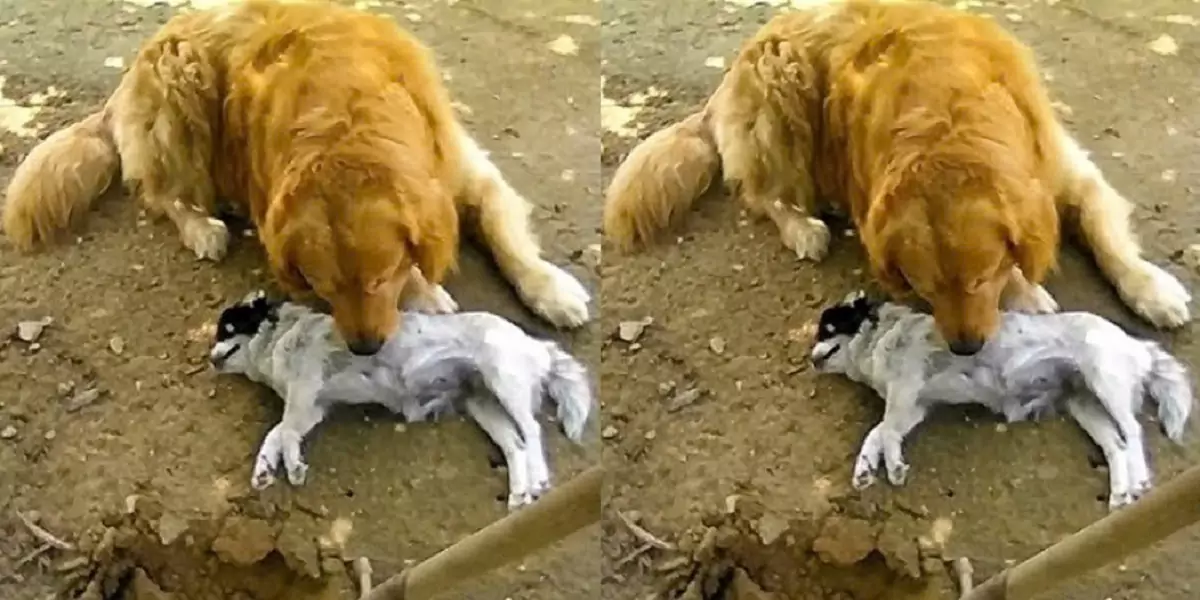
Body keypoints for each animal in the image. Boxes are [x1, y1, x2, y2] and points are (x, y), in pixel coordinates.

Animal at [3, 0, 590, 352]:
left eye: (378, 279)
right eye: (323, 289)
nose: (364, 349)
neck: (345, 115)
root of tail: (130, 73)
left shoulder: (464, 169)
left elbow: (505, 233)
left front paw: (551, 289)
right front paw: (426, 292)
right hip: (180, 90)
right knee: (163, 194)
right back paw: (204, 228)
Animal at [214, 288, 595, 508]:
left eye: (227, 330)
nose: (209, 357)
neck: (281, 336)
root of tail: (535, 343)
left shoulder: (304, 393)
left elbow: (287, 433)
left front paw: (292, 465)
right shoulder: (313, 407)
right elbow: (275, 433)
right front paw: (264, 469)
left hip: (505, 383)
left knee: (532, 430)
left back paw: (539, 478)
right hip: (484, 405)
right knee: (515, 444)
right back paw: (520, 491)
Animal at [609, 0, 1190, 352]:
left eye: (979, 279)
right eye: (923, 289)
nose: (965, 348)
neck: (947, 116)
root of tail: (733, 69)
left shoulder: (1064, 168)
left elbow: (1105, 233)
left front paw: (1152, 289)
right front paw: (1026, 291)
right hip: (782, 92)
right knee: (763, 194)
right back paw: (804, 229)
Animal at [806, 292, 1190, 508]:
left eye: (827, 330)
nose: (809, 359)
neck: (881, 337)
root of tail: (1135, 343)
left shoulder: (905, 391)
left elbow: (884, 432)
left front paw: (894, 466)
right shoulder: (914, 406)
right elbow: (878, 432)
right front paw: (866, 468)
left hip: (1105, 383)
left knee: (1134, 431)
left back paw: (1139, 480)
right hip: (1084, 405)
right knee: (1116, 445)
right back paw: (1121, 492)